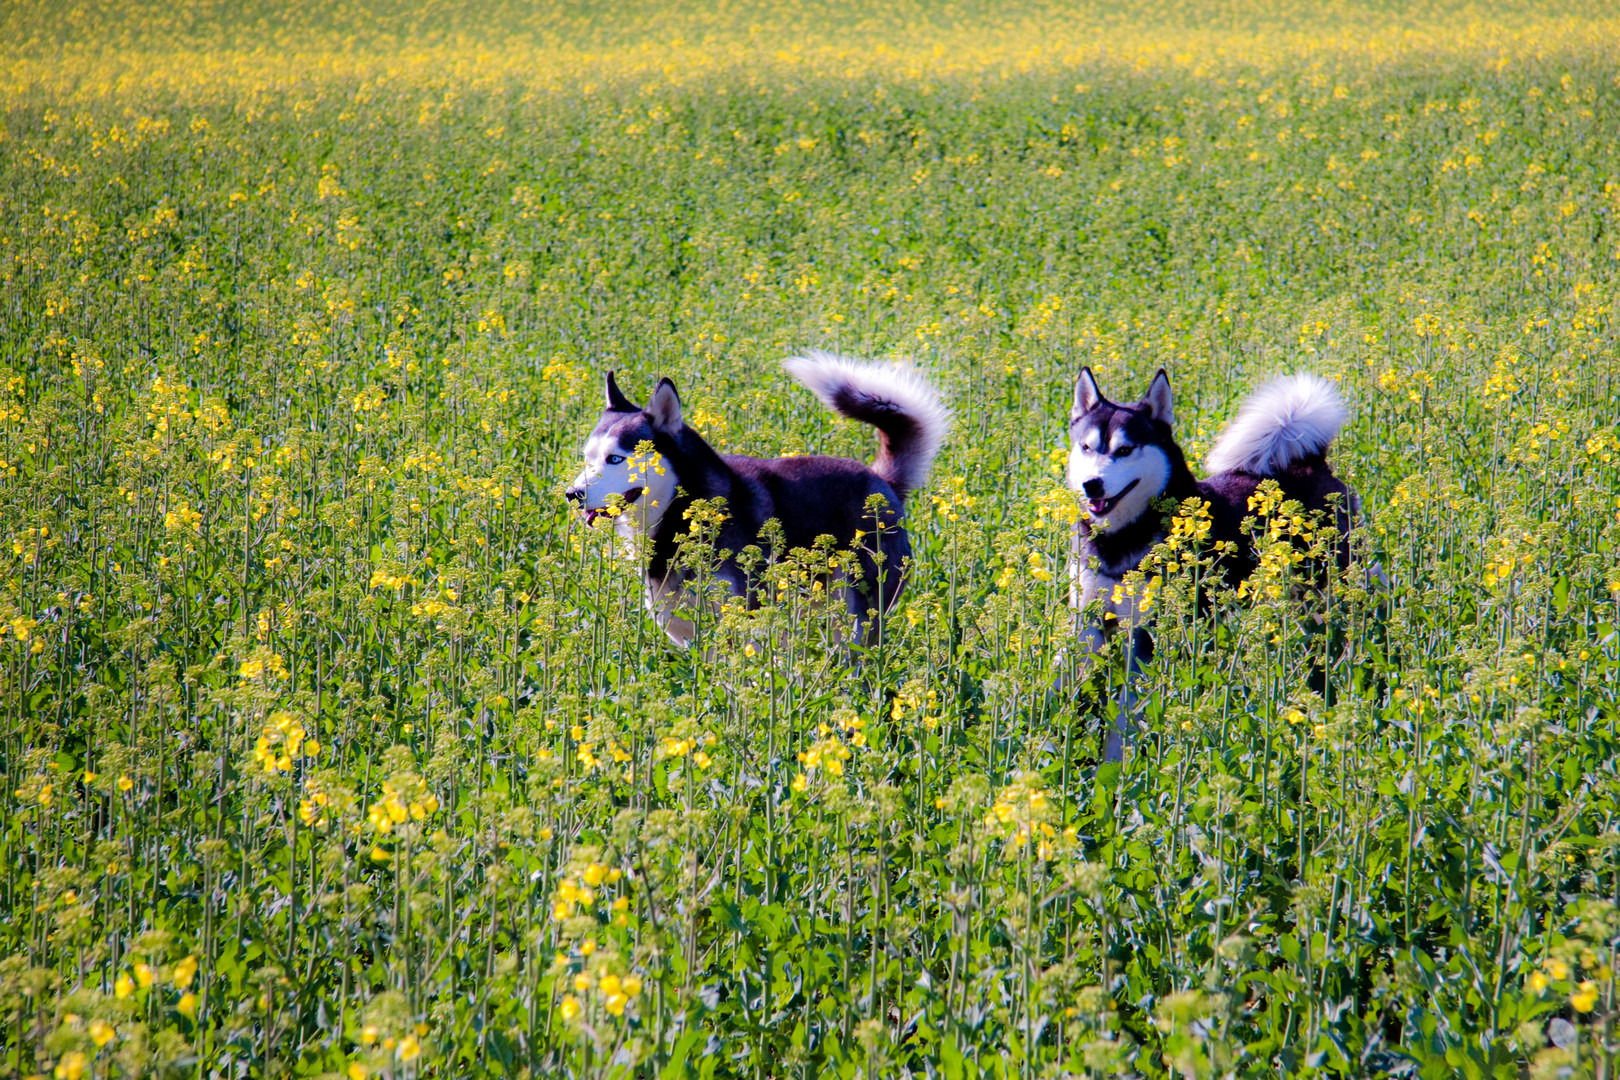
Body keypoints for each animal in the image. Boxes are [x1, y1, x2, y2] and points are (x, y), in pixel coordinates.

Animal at [570, 354, 946, 647]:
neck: (679, 512)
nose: (572, 495)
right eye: (587, 458)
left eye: (615, 459)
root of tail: (883, 482)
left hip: (856, 619)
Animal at [1062, 367, 1354, 757]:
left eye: (1124, 450)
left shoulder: (1144, 636)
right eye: (1086, 447)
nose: (1091, 484)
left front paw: (1115, 763)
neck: (1120, 538)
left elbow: (1124, 716)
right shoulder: (1088, 626)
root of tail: (1310, 461)